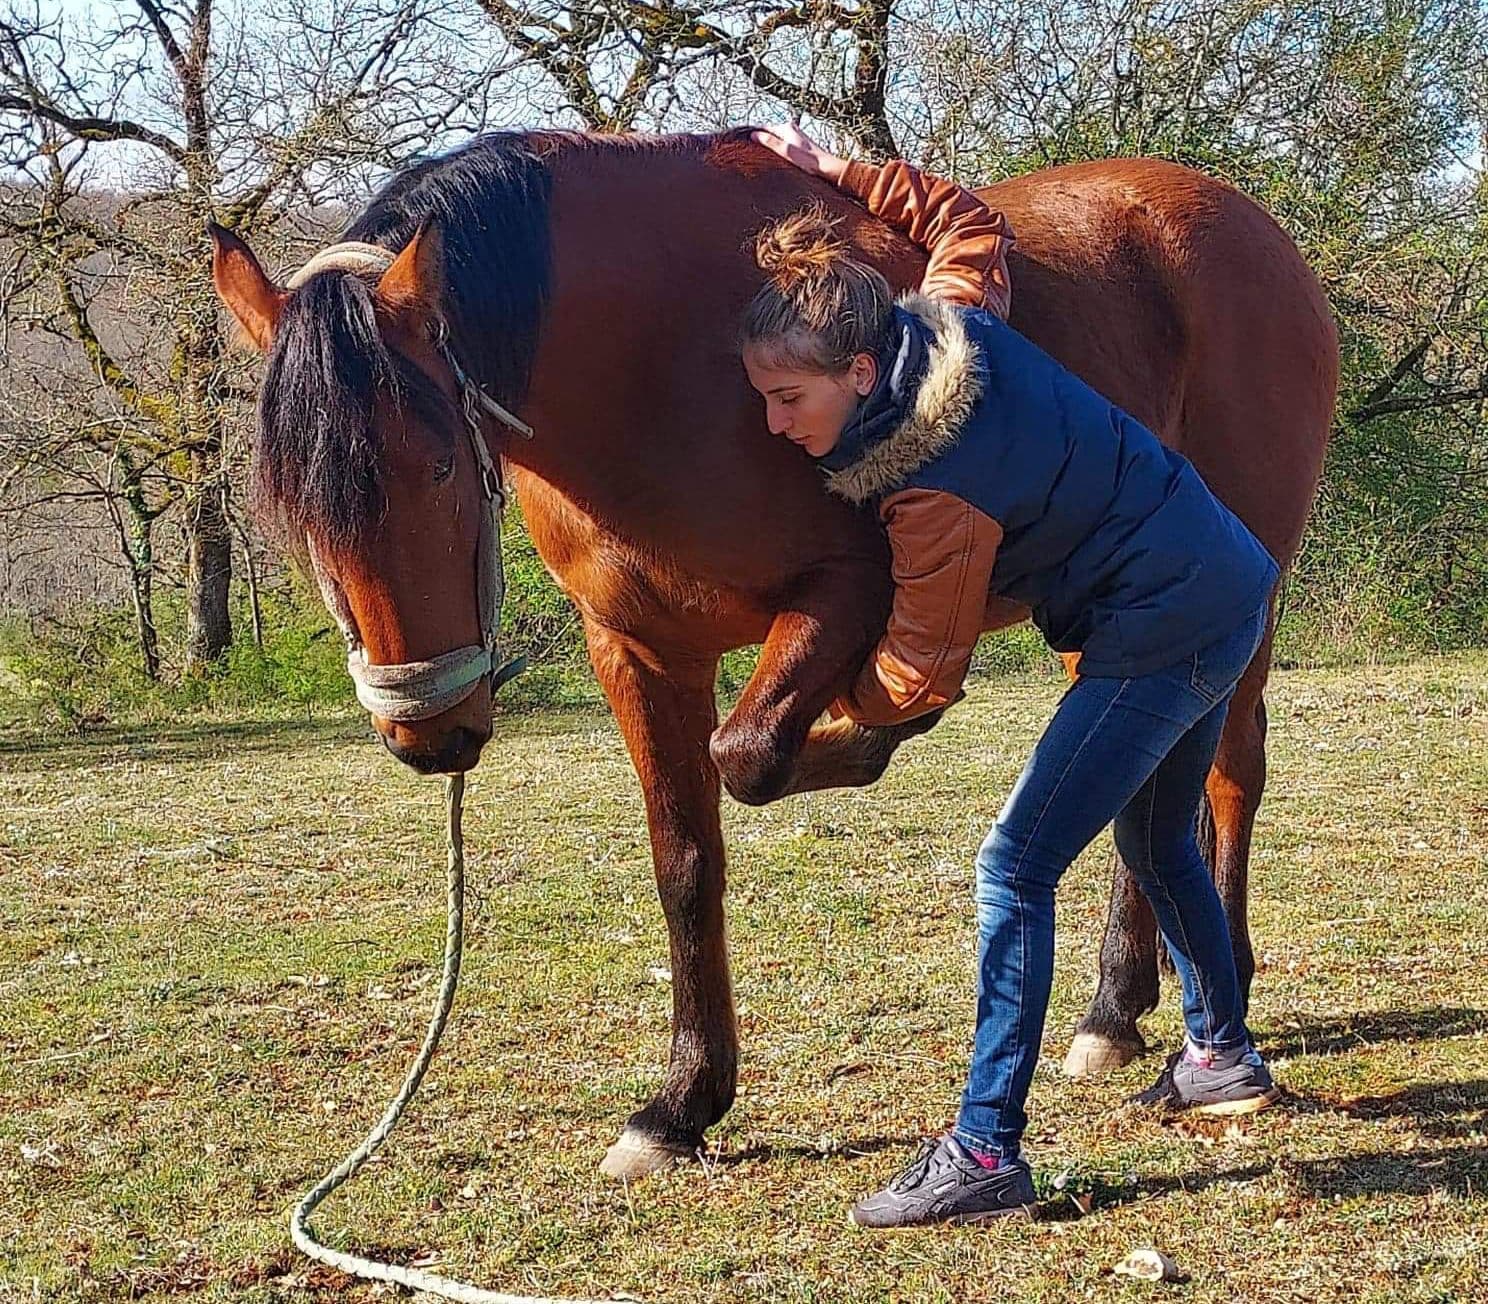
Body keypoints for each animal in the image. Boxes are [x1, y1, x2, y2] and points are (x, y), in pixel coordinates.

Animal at [211, 128, 1337, 1180]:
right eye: (293, 506)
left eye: (440, 463)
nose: (428, 732)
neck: (659, 362)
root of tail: (1256, 232)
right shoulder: (637, 650)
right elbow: (685, 861)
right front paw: (680, 1104)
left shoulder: (842, 593)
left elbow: (749, 752)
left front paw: (870, 732)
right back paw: (1115, 1006)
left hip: (1239, 578)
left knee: (1229, 772)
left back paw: (1208, 985)